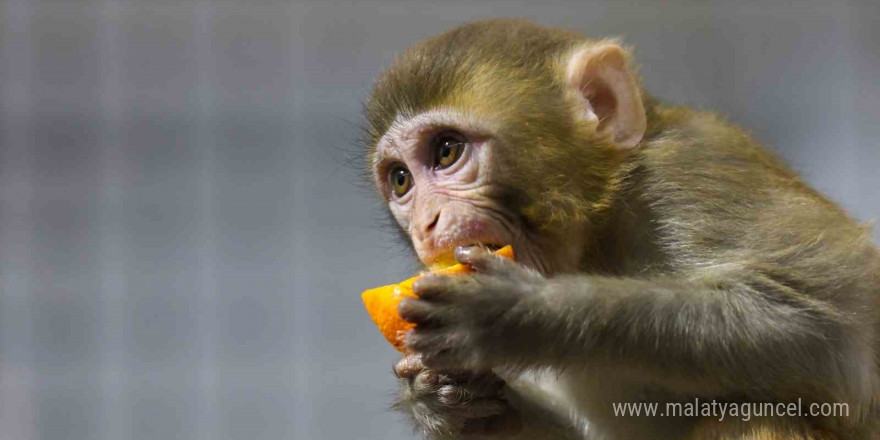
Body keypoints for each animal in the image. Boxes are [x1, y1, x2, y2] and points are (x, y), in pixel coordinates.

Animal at [360, 18, 880, 438]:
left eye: (447, 150)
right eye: (402, 180)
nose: (426, 224)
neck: (600, 235)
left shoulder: (693, 177)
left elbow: (830, 330)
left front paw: (520, 312)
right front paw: (441, 399)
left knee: (751, 416)